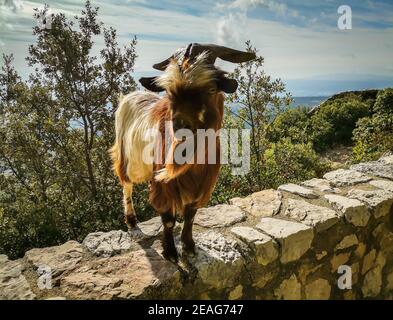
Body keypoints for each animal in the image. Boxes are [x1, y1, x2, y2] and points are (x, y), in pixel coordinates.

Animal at [110, 43, 256, 262]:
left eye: (211, 89)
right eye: (169, 92)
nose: (179, 126)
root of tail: (129, 96)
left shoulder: (203, 184)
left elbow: (190, 215)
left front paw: (188, 247)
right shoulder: (164, 185)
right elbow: (168, 219)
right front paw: (170, 252)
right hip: (126, 157)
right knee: (126, 184)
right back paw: (132, 222)